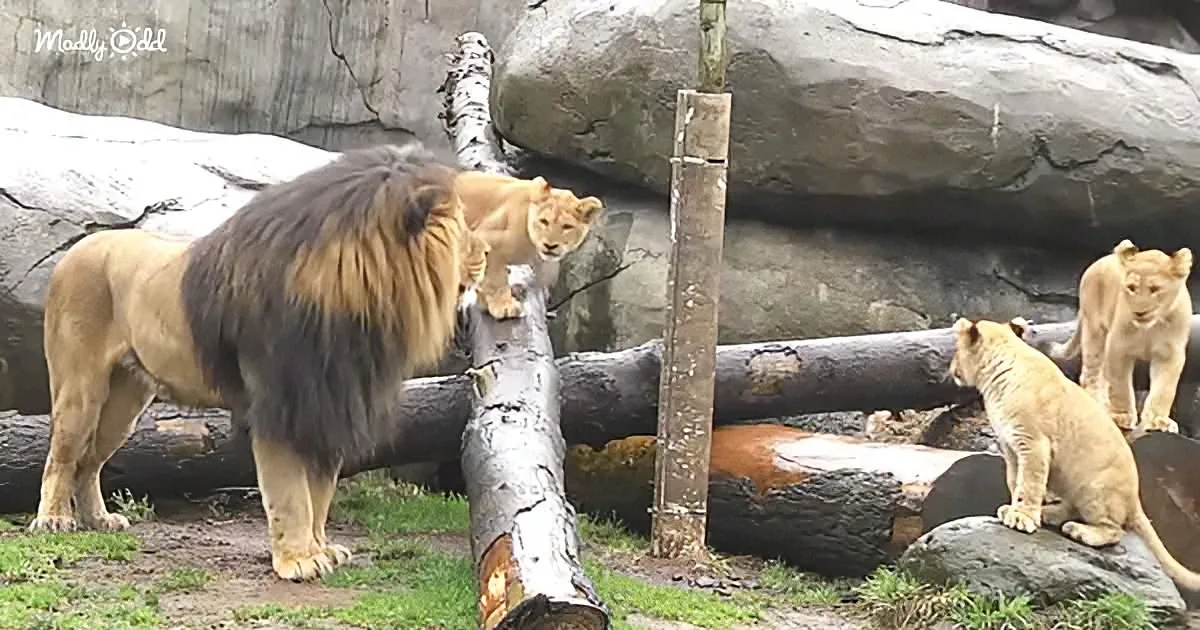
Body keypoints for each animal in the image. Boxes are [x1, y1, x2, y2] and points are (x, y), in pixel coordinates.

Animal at [30, 143, 473, 582]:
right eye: (467, 237)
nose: (482, 264)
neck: (363, 303)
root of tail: (76, 250)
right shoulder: (280, 407)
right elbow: (291, 493)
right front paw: (298, 561)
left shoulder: (327, 408)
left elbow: (320, 493)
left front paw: (321, 549)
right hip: (80, 387)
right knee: (61, 456)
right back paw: (54, 520)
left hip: (126, 401)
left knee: (90, 461)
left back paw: (98, 520)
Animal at [453, 171, 604, 320]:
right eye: (544, 221)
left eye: (567, 226)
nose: (550, 246)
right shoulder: (485, 239)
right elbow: (496, 279)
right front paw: (504, 307)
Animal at [949, 316, 1200, 594]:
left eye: (956, 350)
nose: (951, 369)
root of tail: (1135, 500)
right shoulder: (1011, 447)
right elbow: (1015, 481)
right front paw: (1016, 510)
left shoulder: (1034, 444)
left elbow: (1029, 483)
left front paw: (1022, 517)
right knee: (1073, 508)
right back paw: (1049, 513)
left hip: (1094, 488)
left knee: (1115, 530)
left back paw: (1079, 531)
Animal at [1050, 239, 1193, 433]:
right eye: (1132, 288)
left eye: (1154, 289)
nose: (1139, 312)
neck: (1150, 328)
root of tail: (1100, 261)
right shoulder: (1118, 347)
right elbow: (1121, 386)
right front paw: (1121, 416)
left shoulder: (1170, 354)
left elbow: (1164, 389)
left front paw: (1158, 421)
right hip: (1095, 331)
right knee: (1090, 375)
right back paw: (1099, 406)